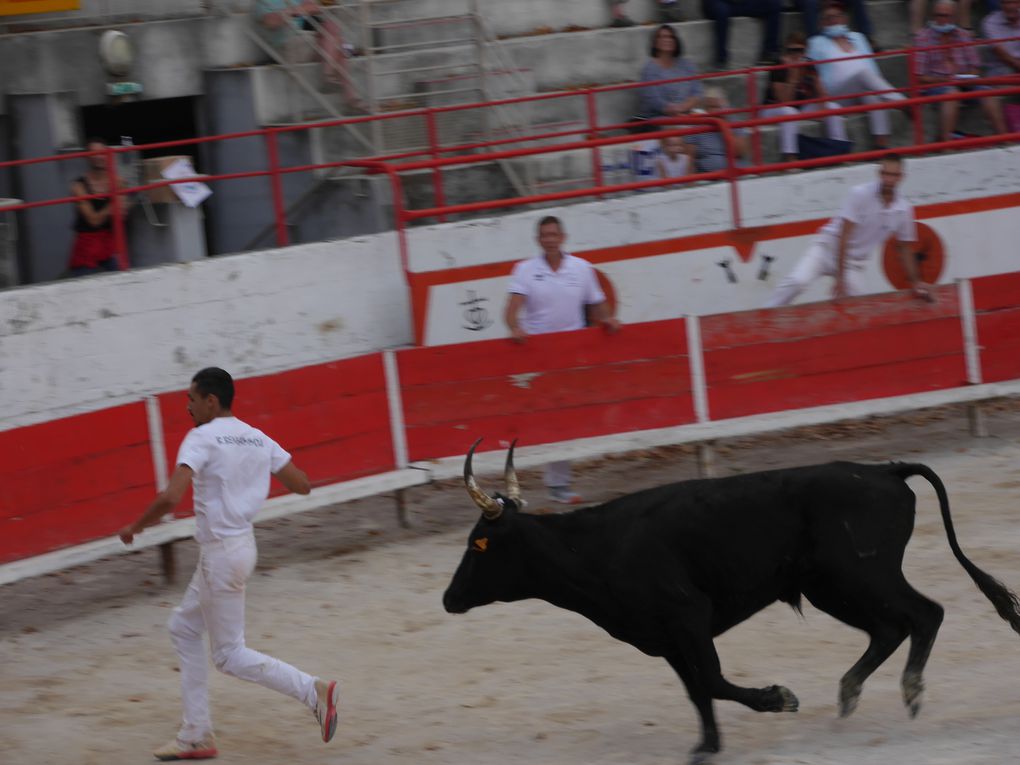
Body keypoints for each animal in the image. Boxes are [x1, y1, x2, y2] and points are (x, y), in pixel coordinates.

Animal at [442, 442, 1020, 765]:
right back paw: (850, 693)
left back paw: (910, 692)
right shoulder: (667, 639)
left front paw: (779, 698)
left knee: (924, 614)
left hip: (860, 576)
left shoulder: (688, 618)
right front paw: (707, 748)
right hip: (832, 587)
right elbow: (698, 690)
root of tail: (884, 471)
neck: (596, 548)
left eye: (479, 544)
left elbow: (714, 682)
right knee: (891, 628)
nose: (448, 599)